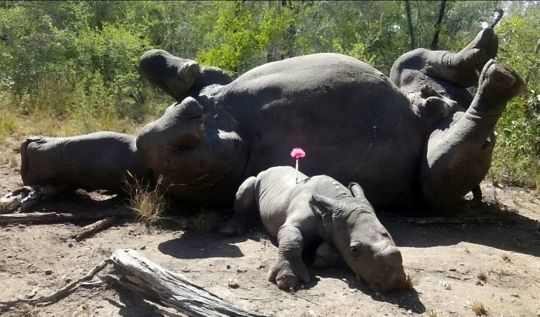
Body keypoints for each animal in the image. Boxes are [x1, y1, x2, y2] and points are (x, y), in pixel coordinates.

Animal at [220, 165, 404, 292]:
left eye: (388, 235)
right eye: (354, 250)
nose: (395, 283)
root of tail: (268, 169)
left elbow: (330, 249)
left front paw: (321, 257)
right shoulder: (293, 223)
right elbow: (293, 238)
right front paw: (287, 280)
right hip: (257, 179)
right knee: (247, 185)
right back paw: (230, 231)